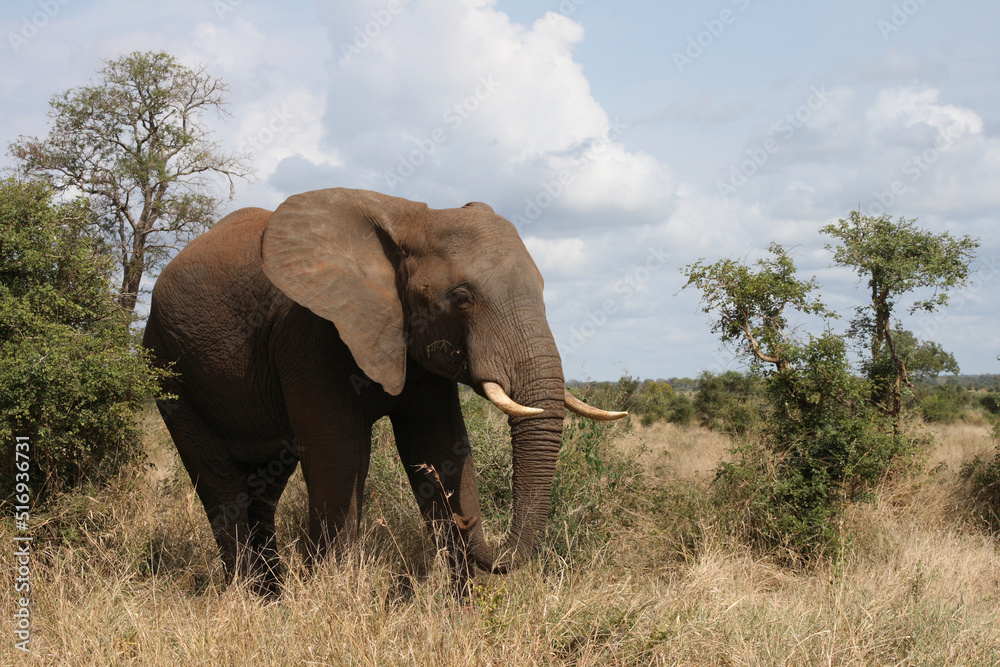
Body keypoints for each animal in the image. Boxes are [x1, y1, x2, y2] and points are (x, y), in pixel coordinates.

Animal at [142, 187, 625, 597]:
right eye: (462, 297)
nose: (467, 518)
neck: (414, 220)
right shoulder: (312, 332)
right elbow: (339, 452)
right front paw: (331, 600)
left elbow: (438, 443)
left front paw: (463, 607)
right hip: (167, 366)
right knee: (218, 479)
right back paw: (247, 596)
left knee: (266, 482)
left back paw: (271, 593)